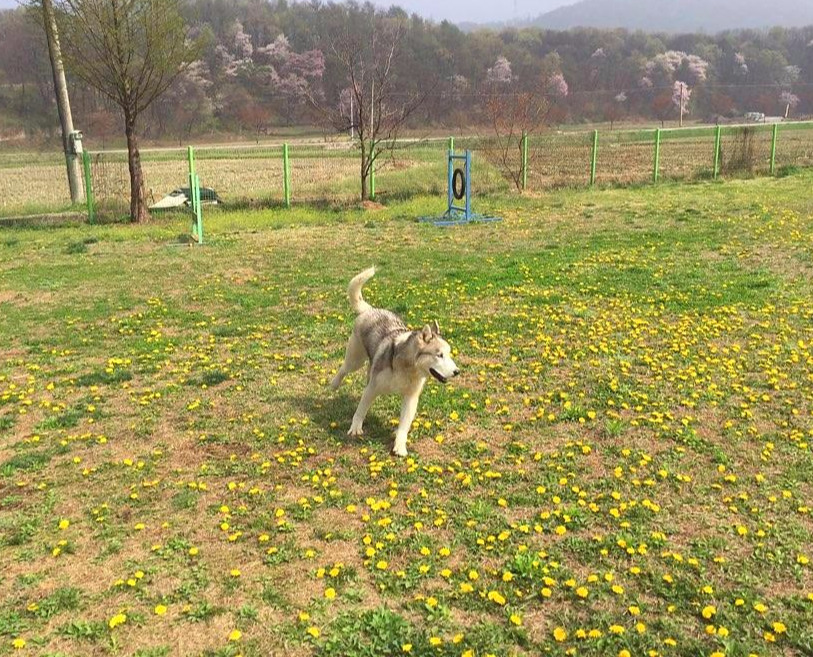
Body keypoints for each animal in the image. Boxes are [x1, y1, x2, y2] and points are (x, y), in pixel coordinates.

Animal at [330, 267, 460, 456]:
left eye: (449, 354)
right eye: (439, 355)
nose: (457, 372)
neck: (408, 368)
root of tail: (371, 310)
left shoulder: (411, 398)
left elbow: (404, 426)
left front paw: (399, 446)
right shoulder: (372, 388)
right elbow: (361, 409)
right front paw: (355, 428)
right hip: (355, 360)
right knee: (343, 369)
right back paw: (334, 384)